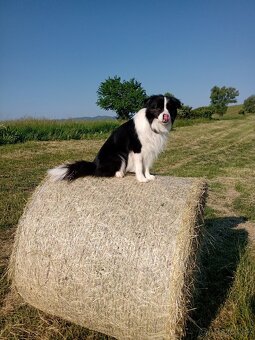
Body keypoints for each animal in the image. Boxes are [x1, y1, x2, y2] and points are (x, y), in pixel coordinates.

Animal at [47, 94, 179, 183]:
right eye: (157, 108)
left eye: (169, 108)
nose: (166, 116)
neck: (151, 123)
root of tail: (94, 165)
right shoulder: (137, 149)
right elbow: (139, 165)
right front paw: (141, 178)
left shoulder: (149, 149)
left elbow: (146, 165)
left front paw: (148, 176)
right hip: (118, 155)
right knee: (102, 172)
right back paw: (119, 173)